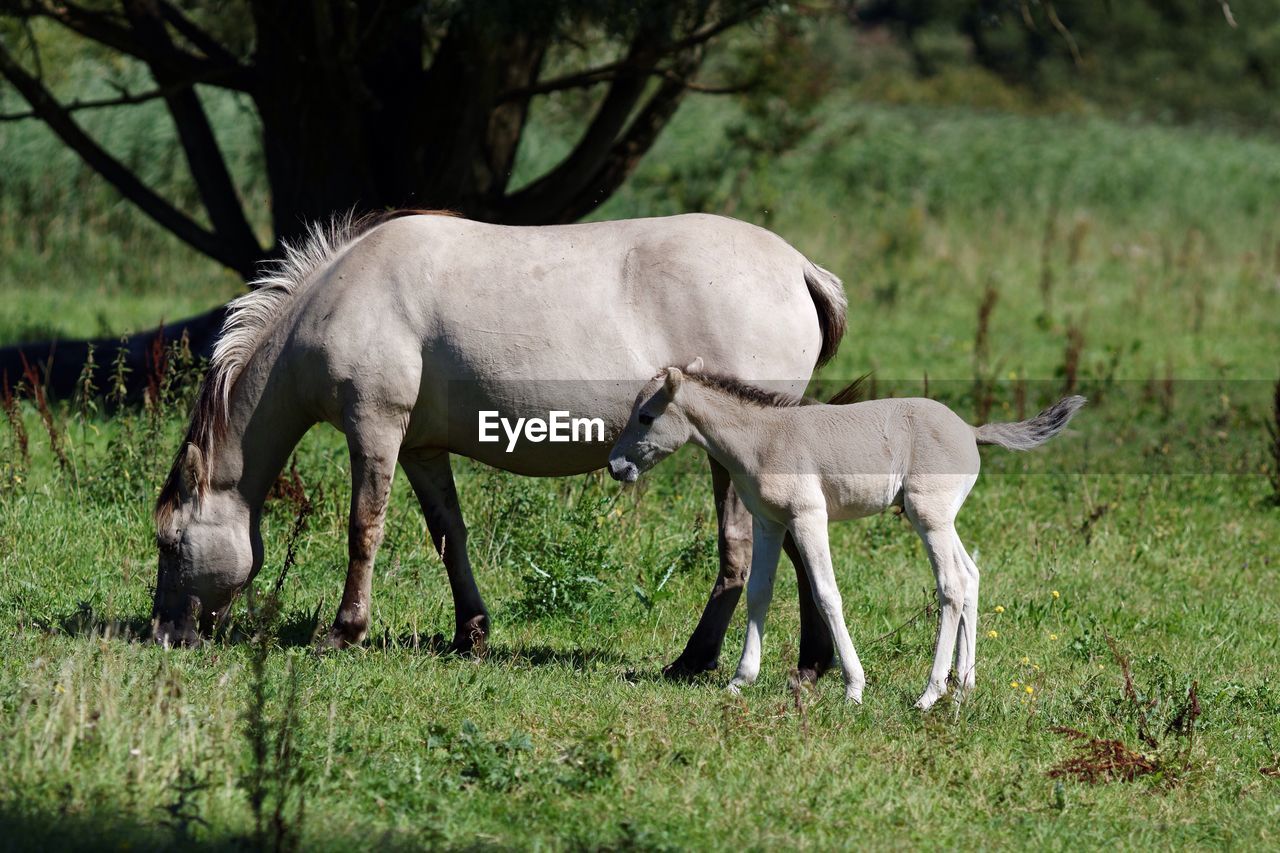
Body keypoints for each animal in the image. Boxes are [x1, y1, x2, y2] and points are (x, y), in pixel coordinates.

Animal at [152, 207, 849, 676]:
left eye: (170, 541)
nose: (165, 635)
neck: (341, 296)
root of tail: (797, 268)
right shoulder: (420, 448)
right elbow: (447, 535)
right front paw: (471, 633)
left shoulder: (374, 427)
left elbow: (363, 528)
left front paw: (345, 632)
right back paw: (810, 662)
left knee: (745, 552)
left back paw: (698, 659)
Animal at [604, 361, 1085, 706]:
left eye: (645, 416)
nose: (615, 466)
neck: (763, 438)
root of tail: (970, 430)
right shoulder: (768, 522)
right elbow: (759, 593)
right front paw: (741, 680)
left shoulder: (807, 518)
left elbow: (826, 594)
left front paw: (854, 688)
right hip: (942, 520)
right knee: (970, 577)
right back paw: (963, 687)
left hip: (927, 516)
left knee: (950, 585)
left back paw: (929, 695)